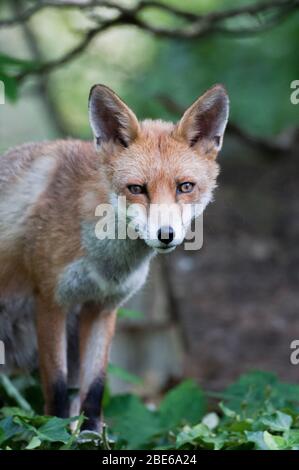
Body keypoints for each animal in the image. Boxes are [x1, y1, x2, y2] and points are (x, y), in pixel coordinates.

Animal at [0, 83, 230, 430]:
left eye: (185, 186)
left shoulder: (103, 308)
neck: (105, 262)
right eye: (136, 188)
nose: (166, 235)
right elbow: (57, 390)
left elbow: (93, 390)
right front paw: (55, 433)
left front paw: (89, 435)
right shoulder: (51, 302)